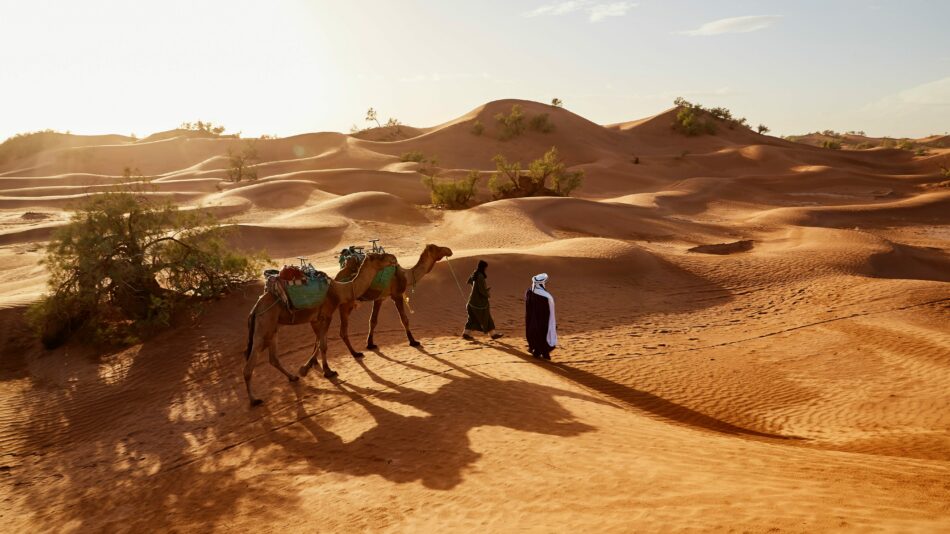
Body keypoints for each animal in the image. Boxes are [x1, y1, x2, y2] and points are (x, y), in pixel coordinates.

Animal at [245, 253, 398, 408]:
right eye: (378, 257)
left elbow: (319, 342)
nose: (393, 258)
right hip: (264, 326)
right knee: (250, 364)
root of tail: (255, 308)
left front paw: (308, 368)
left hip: (274, 328)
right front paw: (328, 371)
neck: (338, 291)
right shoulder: (326, 315)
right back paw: (254, 400)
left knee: (273, 358)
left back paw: (293, 377)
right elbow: (323, 345)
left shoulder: (316, 318)